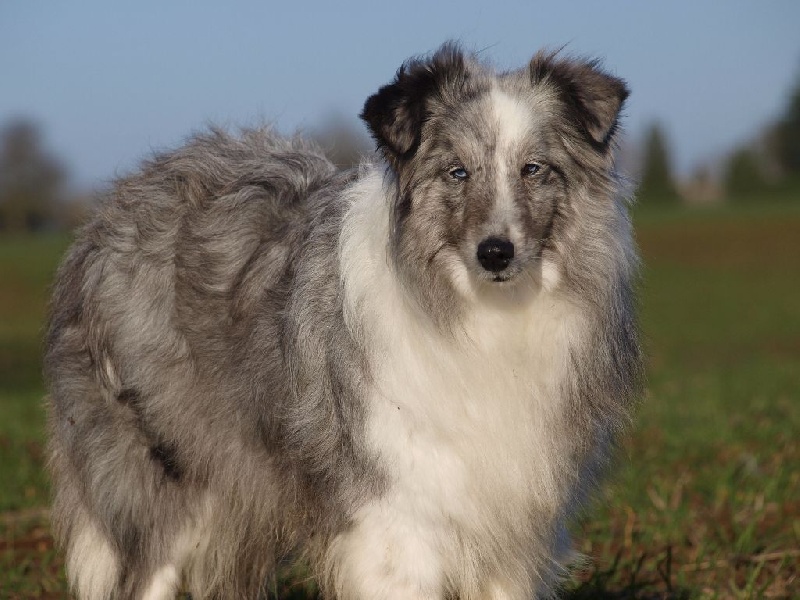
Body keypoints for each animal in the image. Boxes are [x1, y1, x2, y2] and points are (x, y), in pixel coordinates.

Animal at [45, 44, 644, 596]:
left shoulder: (513, 535)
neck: (482, 320)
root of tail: (114, 207)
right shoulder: (399, 518)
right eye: (457, 171)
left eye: (534, 169)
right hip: (165, 474)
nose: (495, 253)